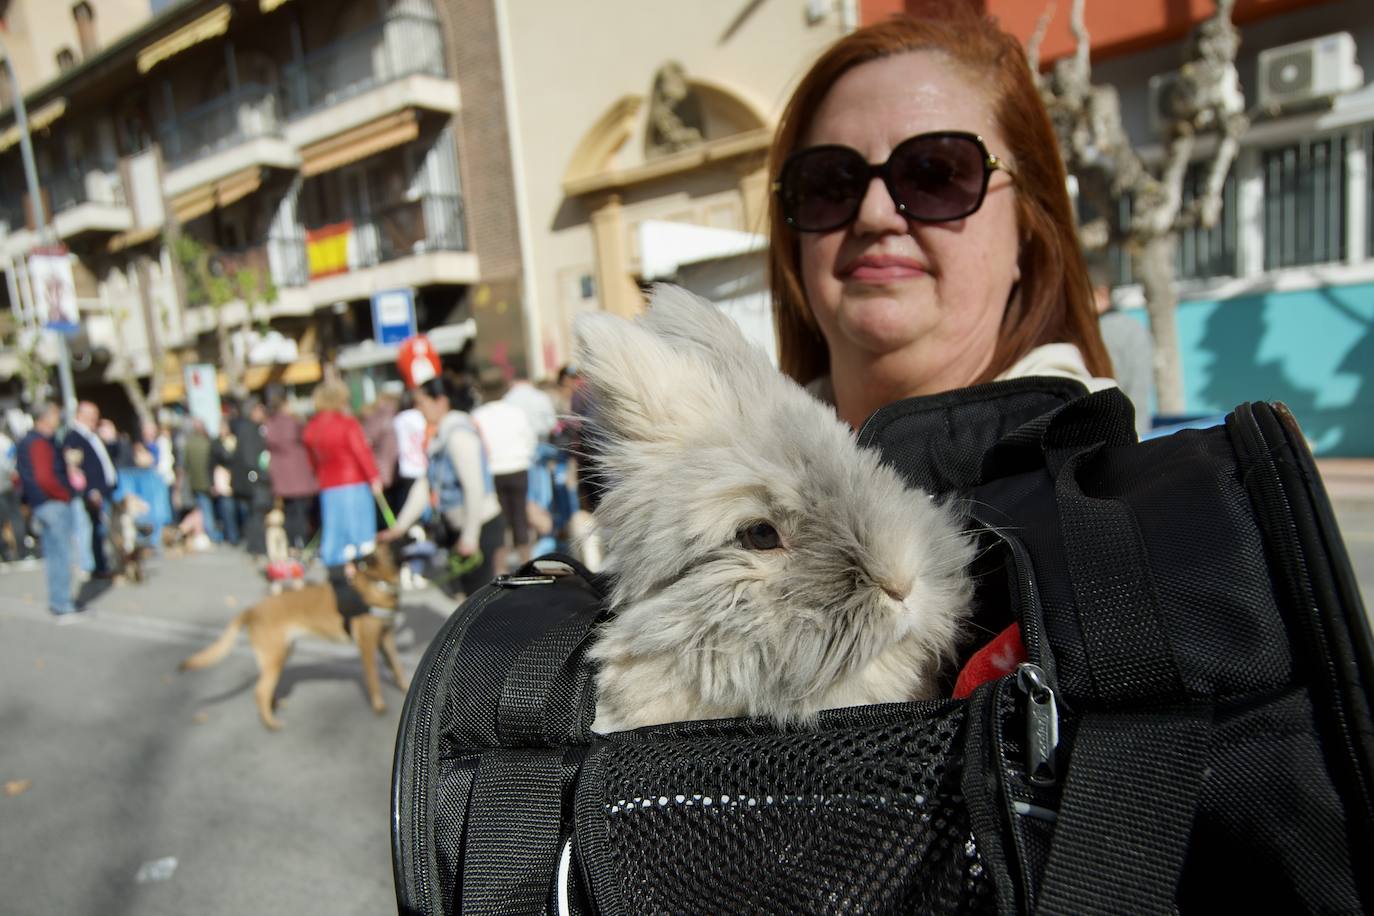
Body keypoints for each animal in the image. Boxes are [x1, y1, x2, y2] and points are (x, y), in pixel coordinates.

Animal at [174, 549, 406, 736]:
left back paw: (274, 704)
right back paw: (270, 722)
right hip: (275, 656)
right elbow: (373, 678)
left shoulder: (386, 638)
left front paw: (403, 686)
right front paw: (379, 705)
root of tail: (252, 610)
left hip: (280, 654)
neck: (377, 582)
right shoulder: (367, 645)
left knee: (266, 688)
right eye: (397, 543)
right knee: (260, 691)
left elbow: (397, 666)